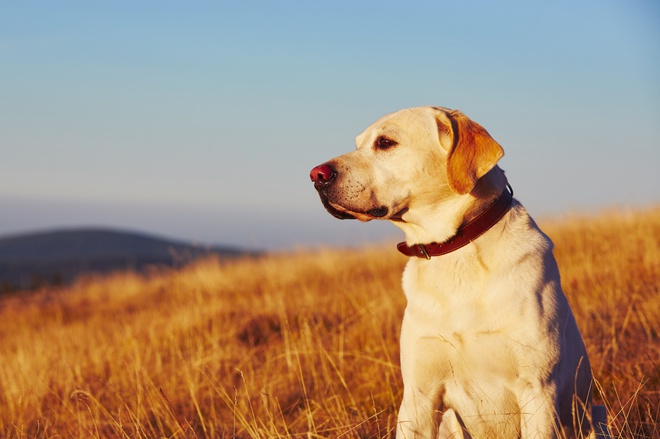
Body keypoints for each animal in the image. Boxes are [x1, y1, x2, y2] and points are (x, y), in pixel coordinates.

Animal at [310, 107, 608, 439]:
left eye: (385, 142)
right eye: (358, 144)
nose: (316, 175)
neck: (453, 251)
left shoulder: (538, 390)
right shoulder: (418, 396)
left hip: (596, 415)